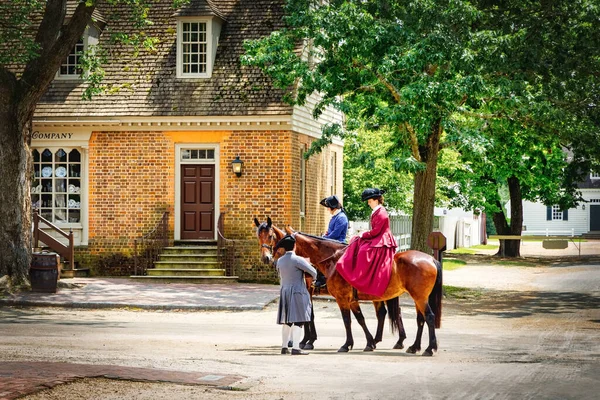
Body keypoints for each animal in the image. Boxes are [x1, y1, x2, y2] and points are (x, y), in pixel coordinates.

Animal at [253, 219, 408, 354]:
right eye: (258, 236)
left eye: (270, 236)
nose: (267, 258)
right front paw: (305, 340)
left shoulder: (311, 291)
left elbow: (312, 316)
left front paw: (307, 341)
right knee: (384, 313)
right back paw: (384, 340)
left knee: (393, 312)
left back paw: (397, 340)